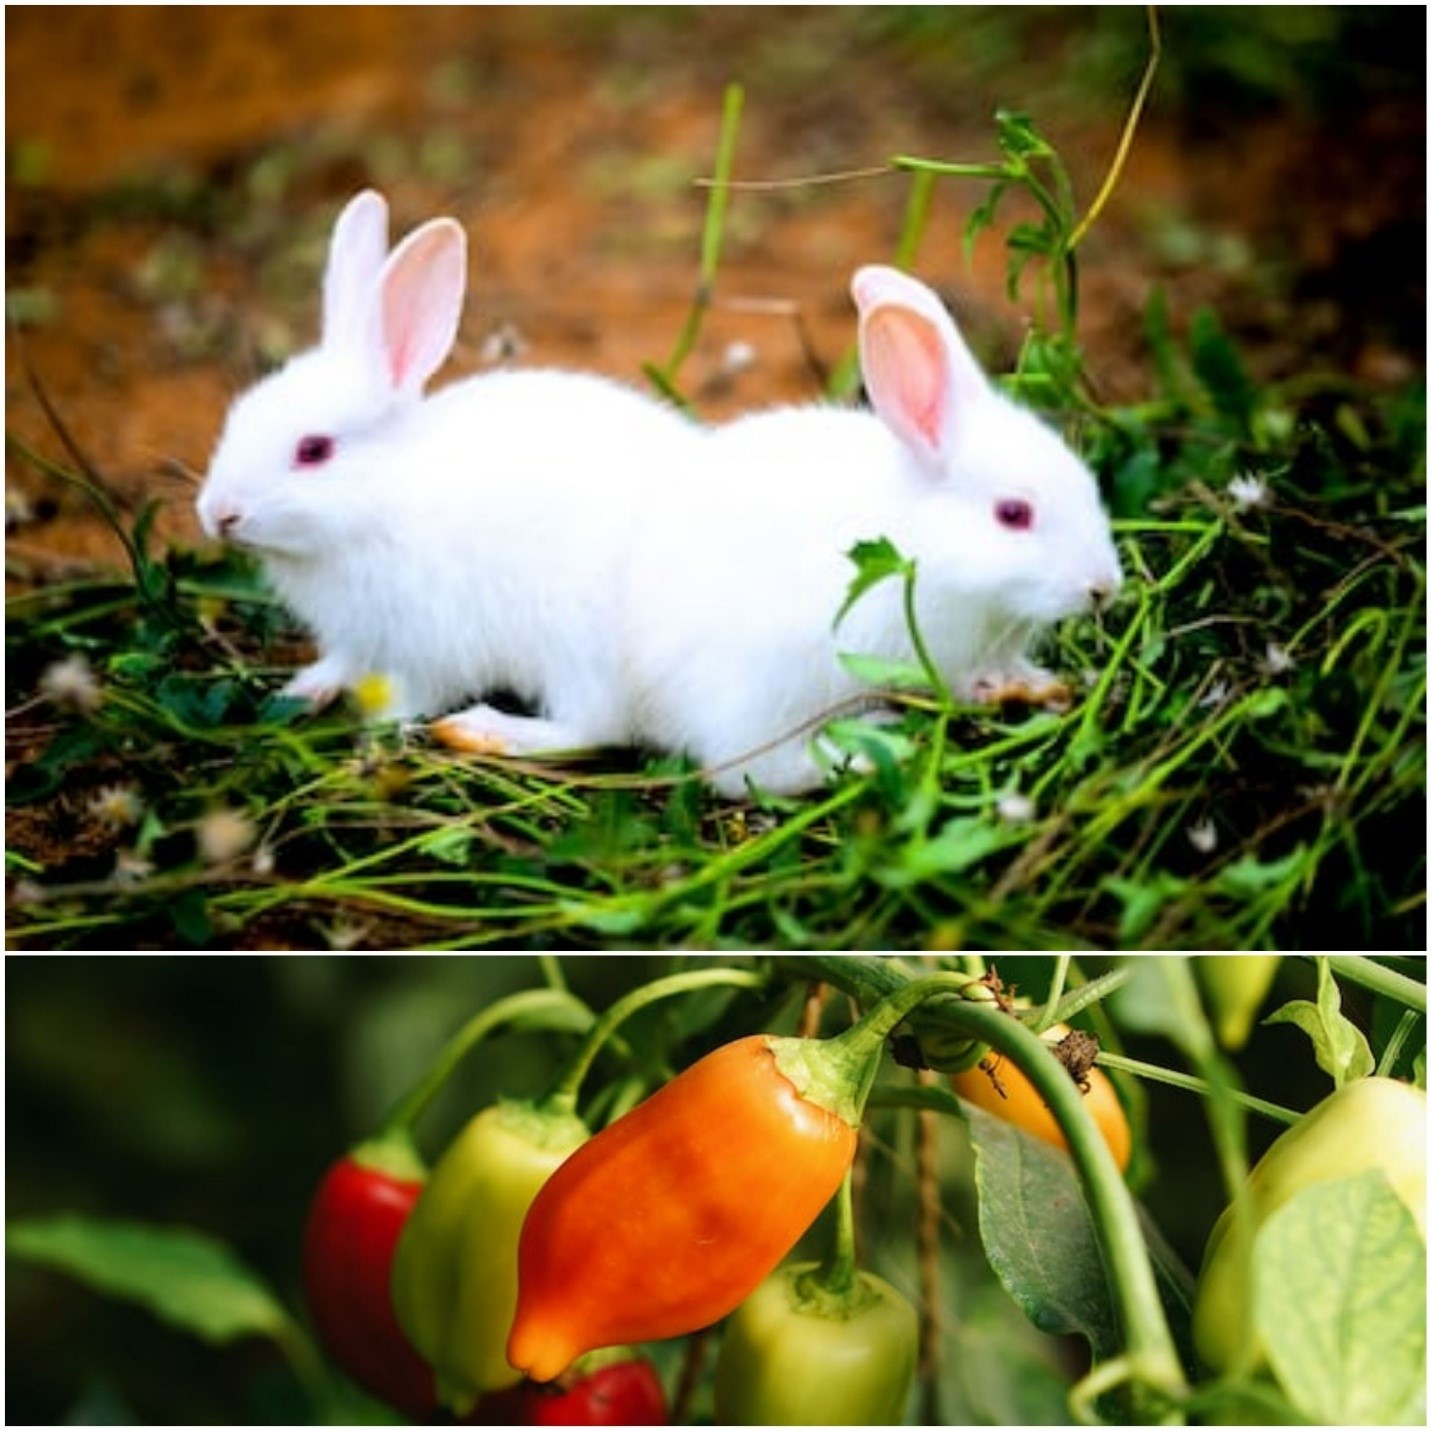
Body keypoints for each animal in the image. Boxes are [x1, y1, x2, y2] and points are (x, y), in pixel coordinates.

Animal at [196, 188, 699, 755]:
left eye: (313, 450)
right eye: (238, 414)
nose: (218, 515)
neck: (383, 501)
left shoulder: (429, 647)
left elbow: (413, 695)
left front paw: (374, 735)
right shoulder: (358, 637)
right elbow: (342, 661)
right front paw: (304, 690)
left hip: (579, 650)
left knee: (589, 729)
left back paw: (482, 730)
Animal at [621, 264, 1124, 798]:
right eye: (1013, 514)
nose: (1103, 588)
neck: (927, 543)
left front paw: (1043, 684)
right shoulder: (941, 651)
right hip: (762, 695)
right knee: (751, 770)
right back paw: (865, 748)